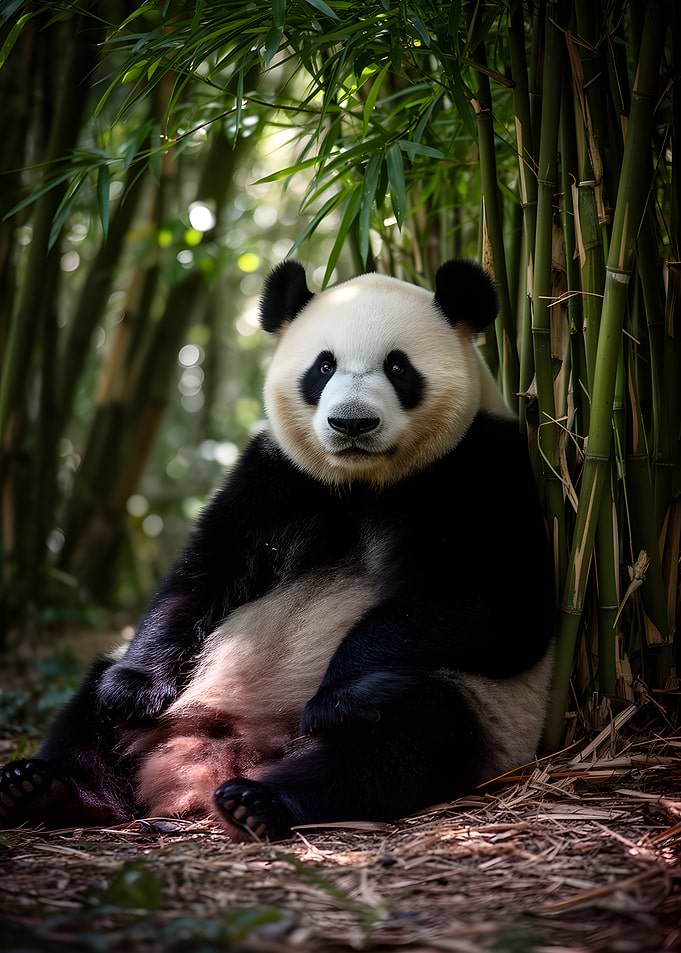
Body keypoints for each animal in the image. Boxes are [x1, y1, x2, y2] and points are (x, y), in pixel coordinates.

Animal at [0, 260, 554, 841]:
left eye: (398, 367)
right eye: (324, 366)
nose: (351, 423)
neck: (365, 481)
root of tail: (224, 753)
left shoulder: (483, 468)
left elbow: (501, 608)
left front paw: (336, 697)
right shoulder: (275, 474)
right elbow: (202, 576)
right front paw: (133, 689)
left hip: (480, 712)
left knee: (406, 737)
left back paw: (261, 800)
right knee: (91, 701)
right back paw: (48, 789)